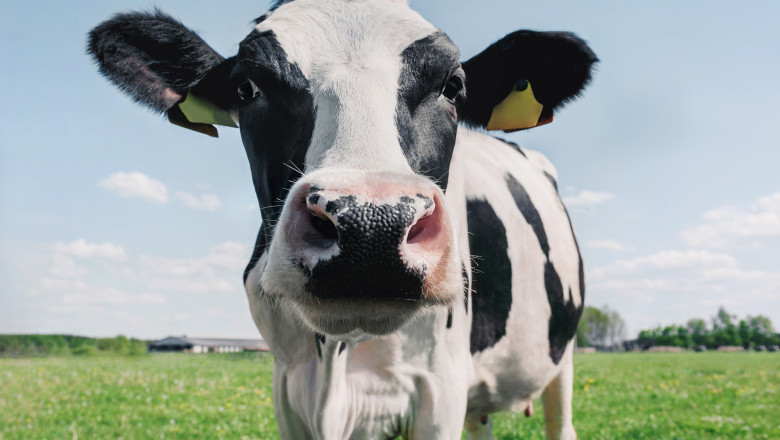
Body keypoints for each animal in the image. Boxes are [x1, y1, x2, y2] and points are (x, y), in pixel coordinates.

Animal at [88, 1, 596, 438]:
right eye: (247, 87)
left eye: (452, 86)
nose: (372, 226)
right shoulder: (288, 384)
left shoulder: (440, 386)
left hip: (562, 357)